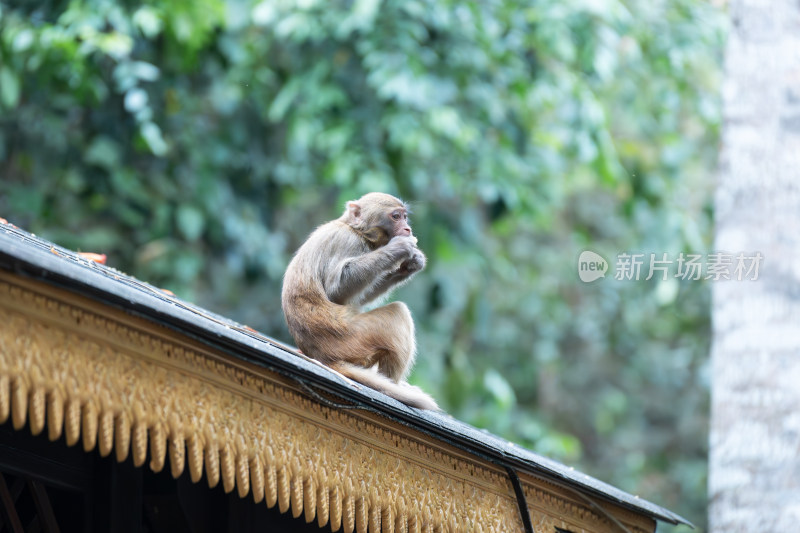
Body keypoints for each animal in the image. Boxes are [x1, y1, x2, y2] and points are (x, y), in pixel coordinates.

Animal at [282, 193, 438, 410]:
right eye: (396, 217)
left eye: (405, 217)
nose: (408, 229)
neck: (355, 229)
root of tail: (322, 357)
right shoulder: (347, 241)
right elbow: (336, 290)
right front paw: (399, 248)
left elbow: (357, 298)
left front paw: (412, 263)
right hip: (351, 339)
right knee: (398, 314)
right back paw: (394, 385)